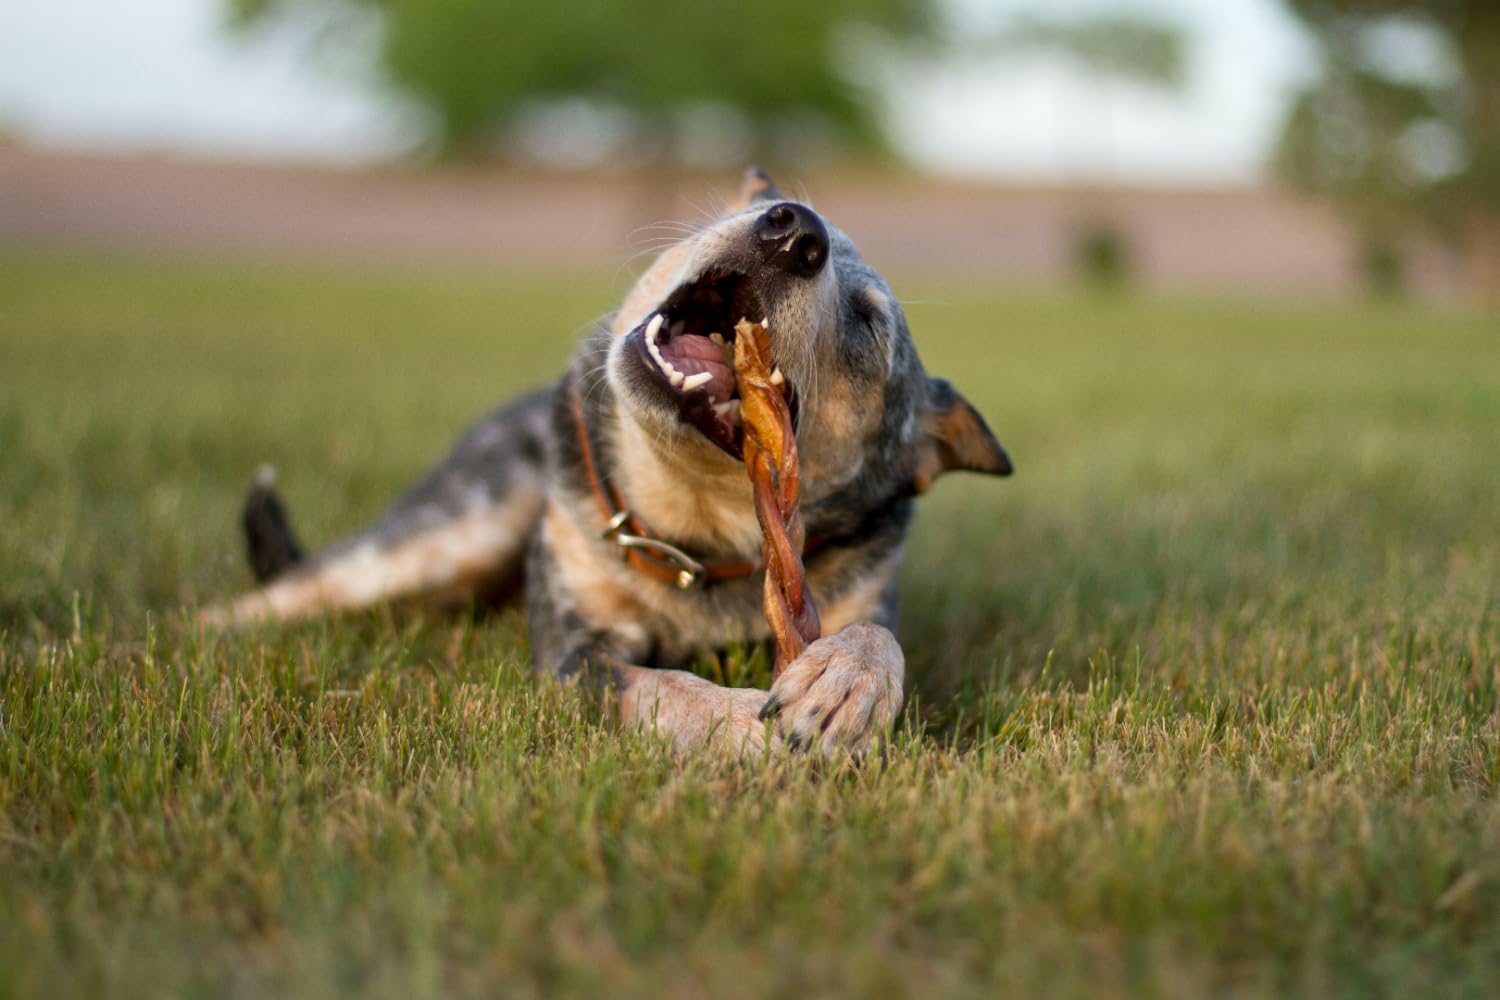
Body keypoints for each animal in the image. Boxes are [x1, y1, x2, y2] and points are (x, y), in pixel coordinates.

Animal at [205, 167, 1014, 755]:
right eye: (778, 203)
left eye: (869, 323)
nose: (794, 231)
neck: (694, 537)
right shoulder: (574, 655)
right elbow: (665, 685)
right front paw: (747, 730)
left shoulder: (863, 596)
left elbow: (880, 639)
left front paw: (847, 683)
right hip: (447, 534)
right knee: (279, 597)